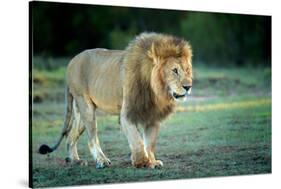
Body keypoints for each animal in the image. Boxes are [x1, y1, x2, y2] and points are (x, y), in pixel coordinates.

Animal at [38, 32, 192, 168]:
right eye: (174, 70)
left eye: (187, 70)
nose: (188, 86)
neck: (156, 91)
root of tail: (71, 62)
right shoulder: (127, 113)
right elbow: (137, 140)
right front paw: (141, 162)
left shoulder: (153, 116)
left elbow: (149, 142)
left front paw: (152, 161)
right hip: (86, 106)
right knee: (92, 139)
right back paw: (102, 161)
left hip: (79, 112)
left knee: (70, 137)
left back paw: (75, 161)